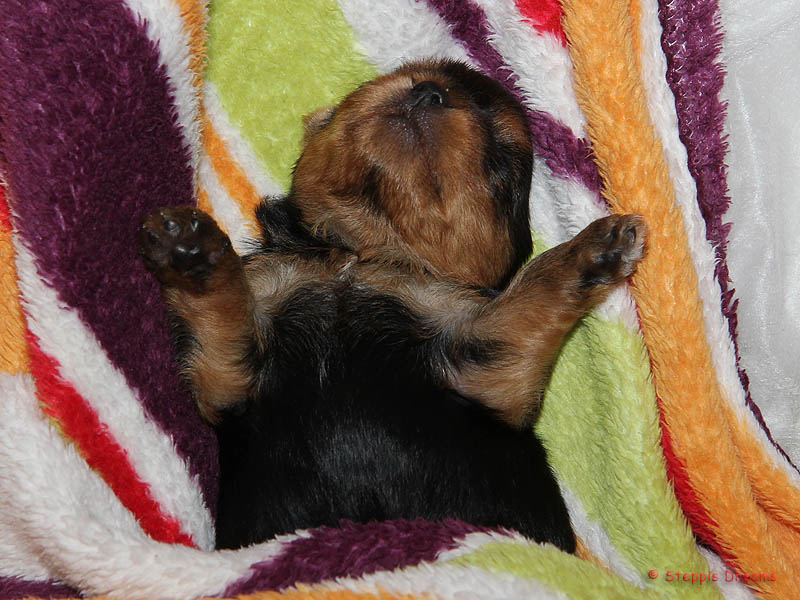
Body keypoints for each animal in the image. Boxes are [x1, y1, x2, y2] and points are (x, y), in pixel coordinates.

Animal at [138, 59, 646, 552]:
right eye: (408, 76)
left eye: (501, 158)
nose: (428, 93)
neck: (359, 256)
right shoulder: (227, 377)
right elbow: (220, 308)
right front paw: (192, 249)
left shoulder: (489, 373)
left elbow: (536, 289)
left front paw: (592, 248)